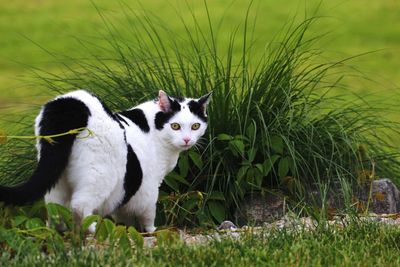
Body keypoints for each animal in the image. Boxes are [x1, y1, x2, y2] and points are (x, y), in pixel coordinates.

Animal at [0, 89, 212, 232]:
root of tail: (71, 104)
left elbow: (123, 214)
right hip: (101, 174)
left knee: (54, 207)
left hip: (57, 177)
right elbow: (147, 213)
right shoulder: (149, 187)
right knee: (79, 205)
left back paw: (58, 231)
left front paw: (126, 228)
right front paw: (152, 231)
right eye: (175, 126)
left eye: (195, 126)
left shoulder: (126, 192)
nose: (187, 140)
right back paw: (92, 229)